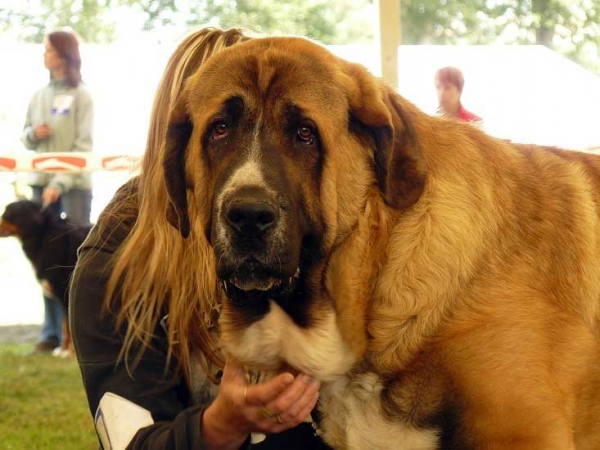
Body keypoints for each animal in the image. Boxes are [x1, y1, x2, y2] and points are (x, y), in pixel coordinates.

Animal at [0, 200, 91, 356]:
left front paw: (69, 352)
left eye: (7, 213)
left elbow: (68, 325)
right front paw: (62, 350)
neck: (43, 237)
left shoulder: (65, 293)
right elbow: (64, 326)